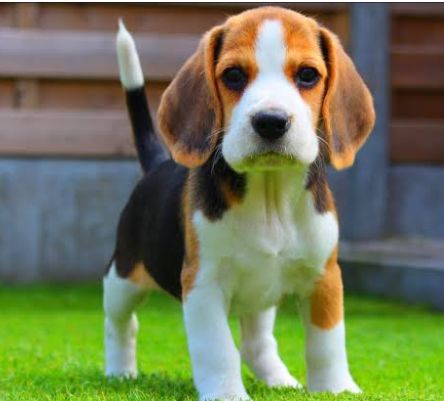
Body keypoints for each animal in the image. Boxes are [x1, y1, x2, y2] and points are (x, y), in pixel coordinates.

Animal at [104, 7, 374, 400]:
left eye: (308, 75)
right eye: (233, 75)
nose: (271, 121)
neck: (269, 195)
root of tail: (157, 164)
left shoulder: (324, 276)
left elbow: (327, 342)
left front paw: (335, 388)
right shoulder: (202, 284)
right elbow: (218, 348)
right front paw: (226, 393)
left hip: (261, 294)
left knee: (256, 343)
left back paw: (279, 380)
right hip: (124, 277)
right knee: (121, 322)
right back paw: (119, 371)